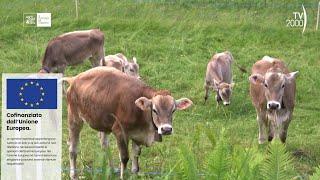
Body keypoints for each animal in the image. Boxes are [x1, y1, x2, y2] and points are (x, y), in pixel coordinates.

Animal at [63, 67, 191, 179]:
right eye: (154, 110)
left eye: (173, 110)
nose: (166, 129)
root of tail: (75, 78)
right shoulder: (120, 132)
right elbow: (125, 158)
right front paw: (123, 175)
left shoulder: (138, 135)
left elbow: (136, 158)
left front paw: (134, 175)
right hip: (74, 118)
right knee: (73, 148)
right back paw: (73, 175)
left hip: (103, 122)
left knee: (104, 144)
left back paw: (111, 170)